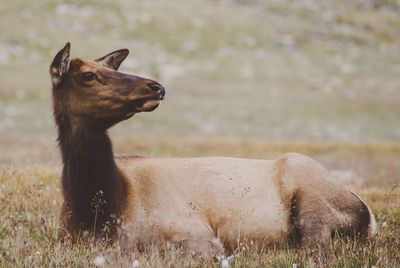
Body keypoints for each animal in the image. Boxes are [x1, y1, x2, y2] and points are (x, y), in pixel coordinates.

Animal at [50, 43, 376, 254]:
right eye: (88, 74)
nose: (156, 86)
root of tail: (370, 216)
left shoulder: (195, 233)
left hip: (312, 201)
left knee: (315, 248)